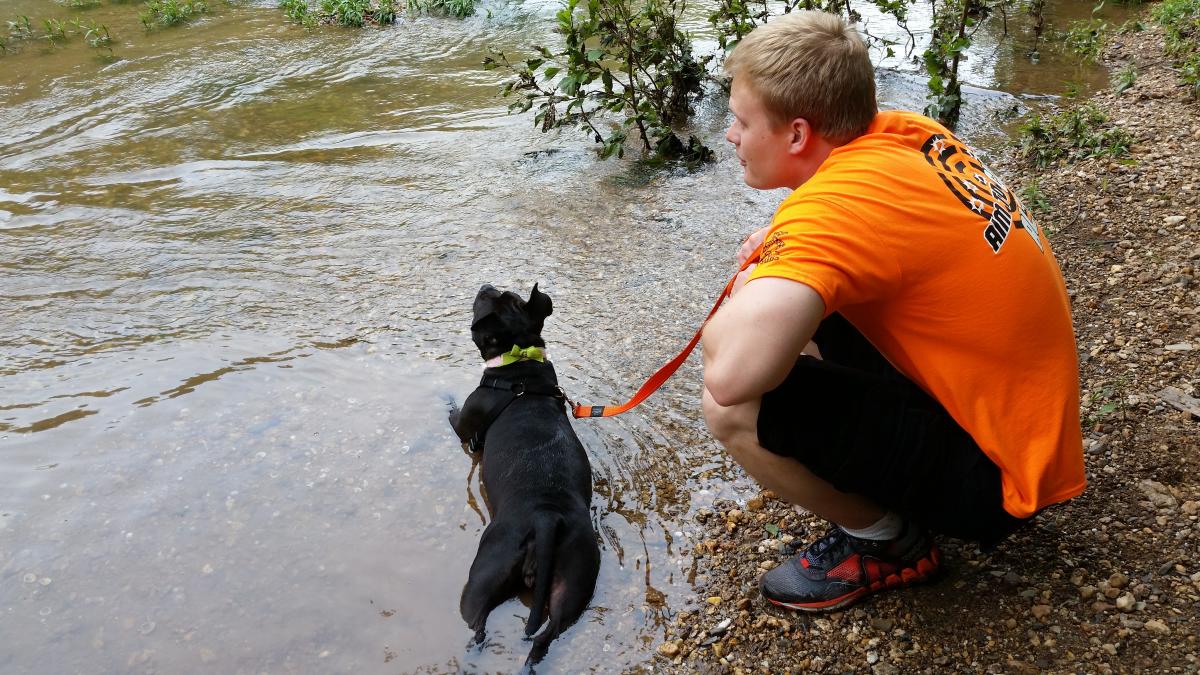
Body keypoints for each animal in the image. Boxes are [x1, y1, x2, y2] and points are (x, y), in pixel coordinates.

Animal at [448, 282, 600, 662]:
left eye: (488, 300)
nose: (486, 285)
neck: (520, 363)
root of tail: (546, 517)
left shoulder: (465, 423)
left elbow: (454, 415)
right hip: (576, 576)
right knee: (549, 632)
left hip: (485, 572)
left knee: (478, 623)